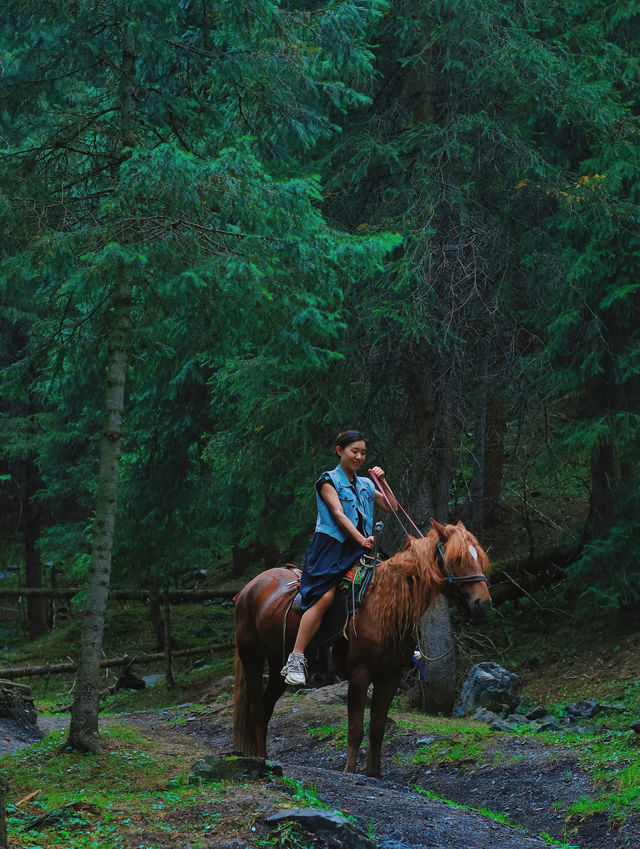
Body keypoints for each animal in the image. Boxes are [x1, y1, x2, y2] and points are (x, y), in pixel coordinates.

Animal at [232, 516, 492, 776]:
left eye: (479, 557)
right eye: (458, 559)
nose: (482, 604)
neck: (384, 606)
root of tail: (248, 588)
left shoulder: (390, 676)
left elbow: (377, 729)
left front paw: (373, 773)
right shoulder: (360, 673)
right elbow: (355, 729)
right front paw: (350, 771)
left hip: (277, 662)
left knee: (265, 709)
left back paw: (264, 758)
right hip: (252, 656)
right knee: (256, 710)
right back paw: (261, 760)